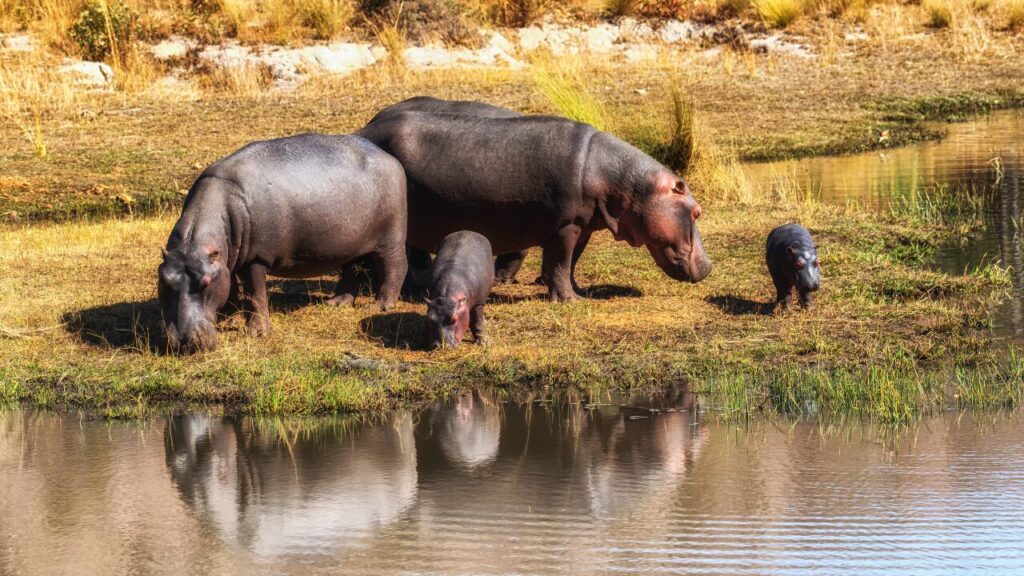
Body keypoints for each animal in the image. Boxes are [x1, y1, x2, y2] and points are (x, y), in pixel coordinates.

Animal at [158, 133, 408, 353]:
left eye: (205, 283)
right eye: (164, 281)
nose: (183, 341)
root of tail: (389, 157)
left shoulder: (255, 259)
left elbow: (256, 294)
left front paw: (258, 333)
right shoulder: (225, 262)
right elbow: (231, 290)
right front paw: (229, 321)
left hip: (390, 239)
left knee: (395, 267)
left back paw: (379, 306)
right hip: (350, 243)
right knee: (351, 269)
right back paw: (336, 304)